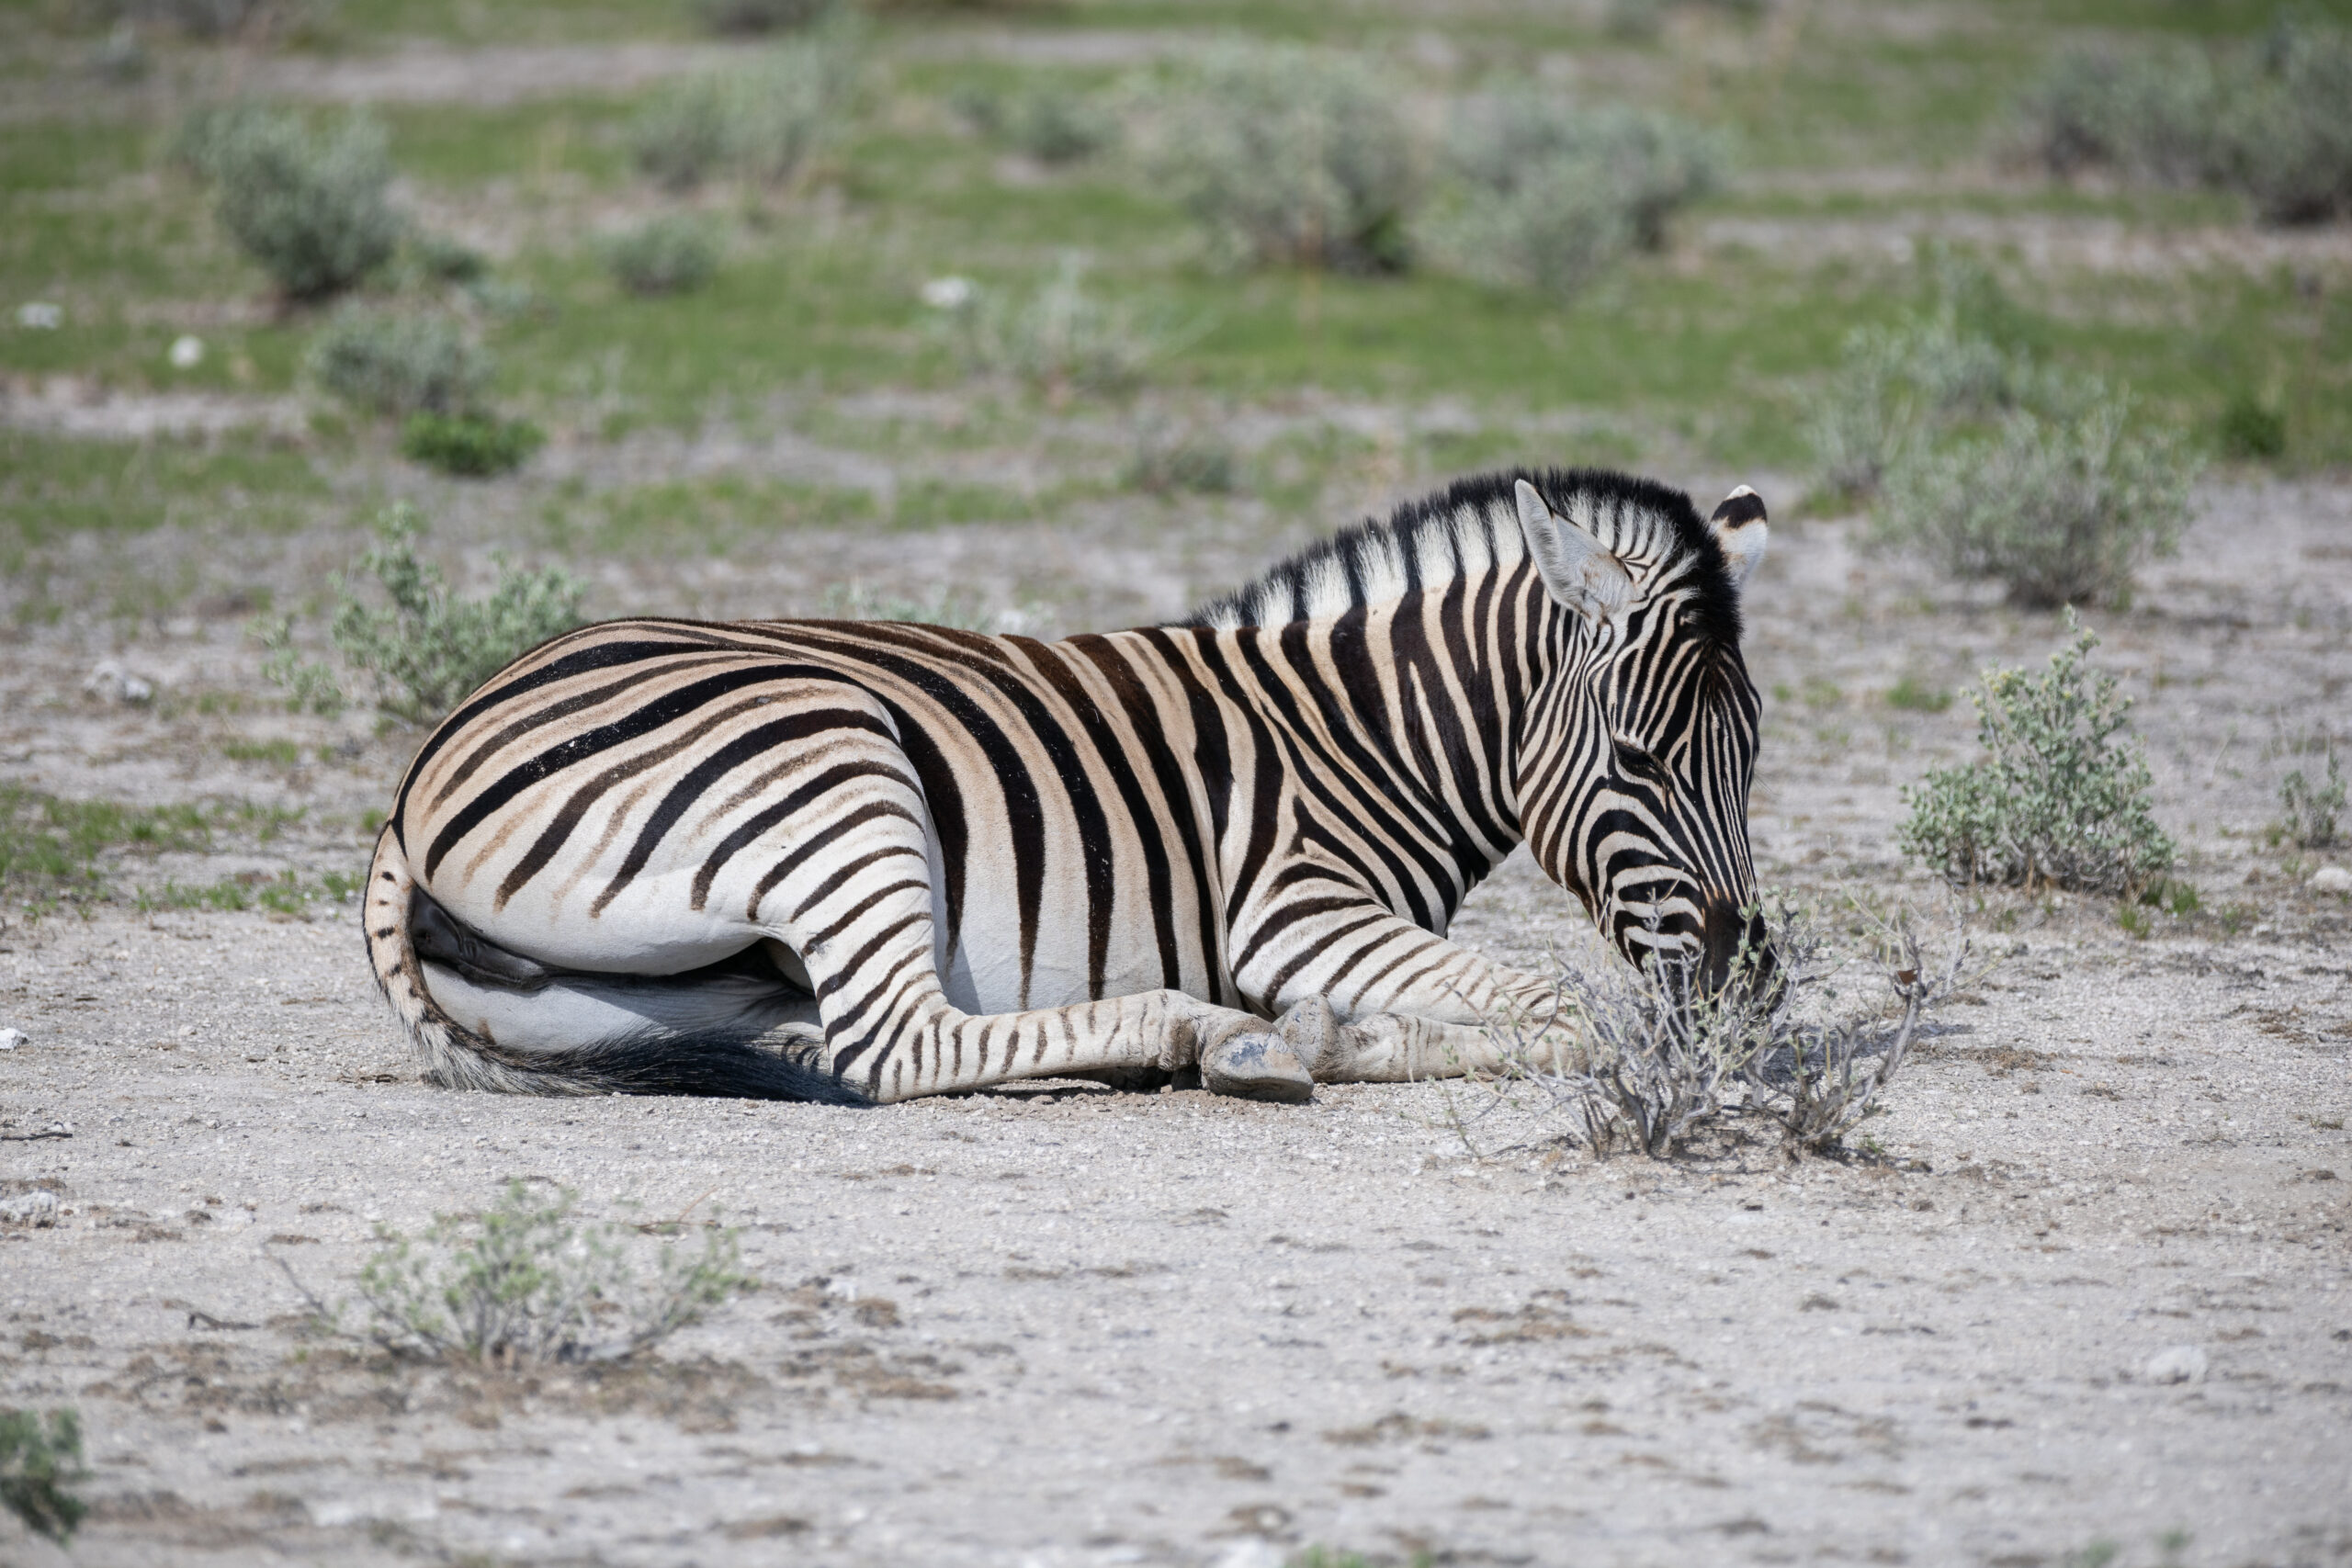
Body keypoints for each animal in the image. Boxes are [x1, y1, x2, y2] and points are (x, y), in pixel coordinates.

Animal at [362, 465, 1769, 1104]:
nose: (1746, 983)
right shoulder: (1295, 908)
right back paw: (1200, 1034)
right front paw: (1330, 1036)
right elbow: (1569, 1006)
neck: (1364, 731)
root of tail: (416, 777)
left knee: (824, 1034)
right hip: (834, 763)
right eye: (1639, 761)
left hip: (651, 986)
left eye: (1753, 755)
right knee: (897, 1041)